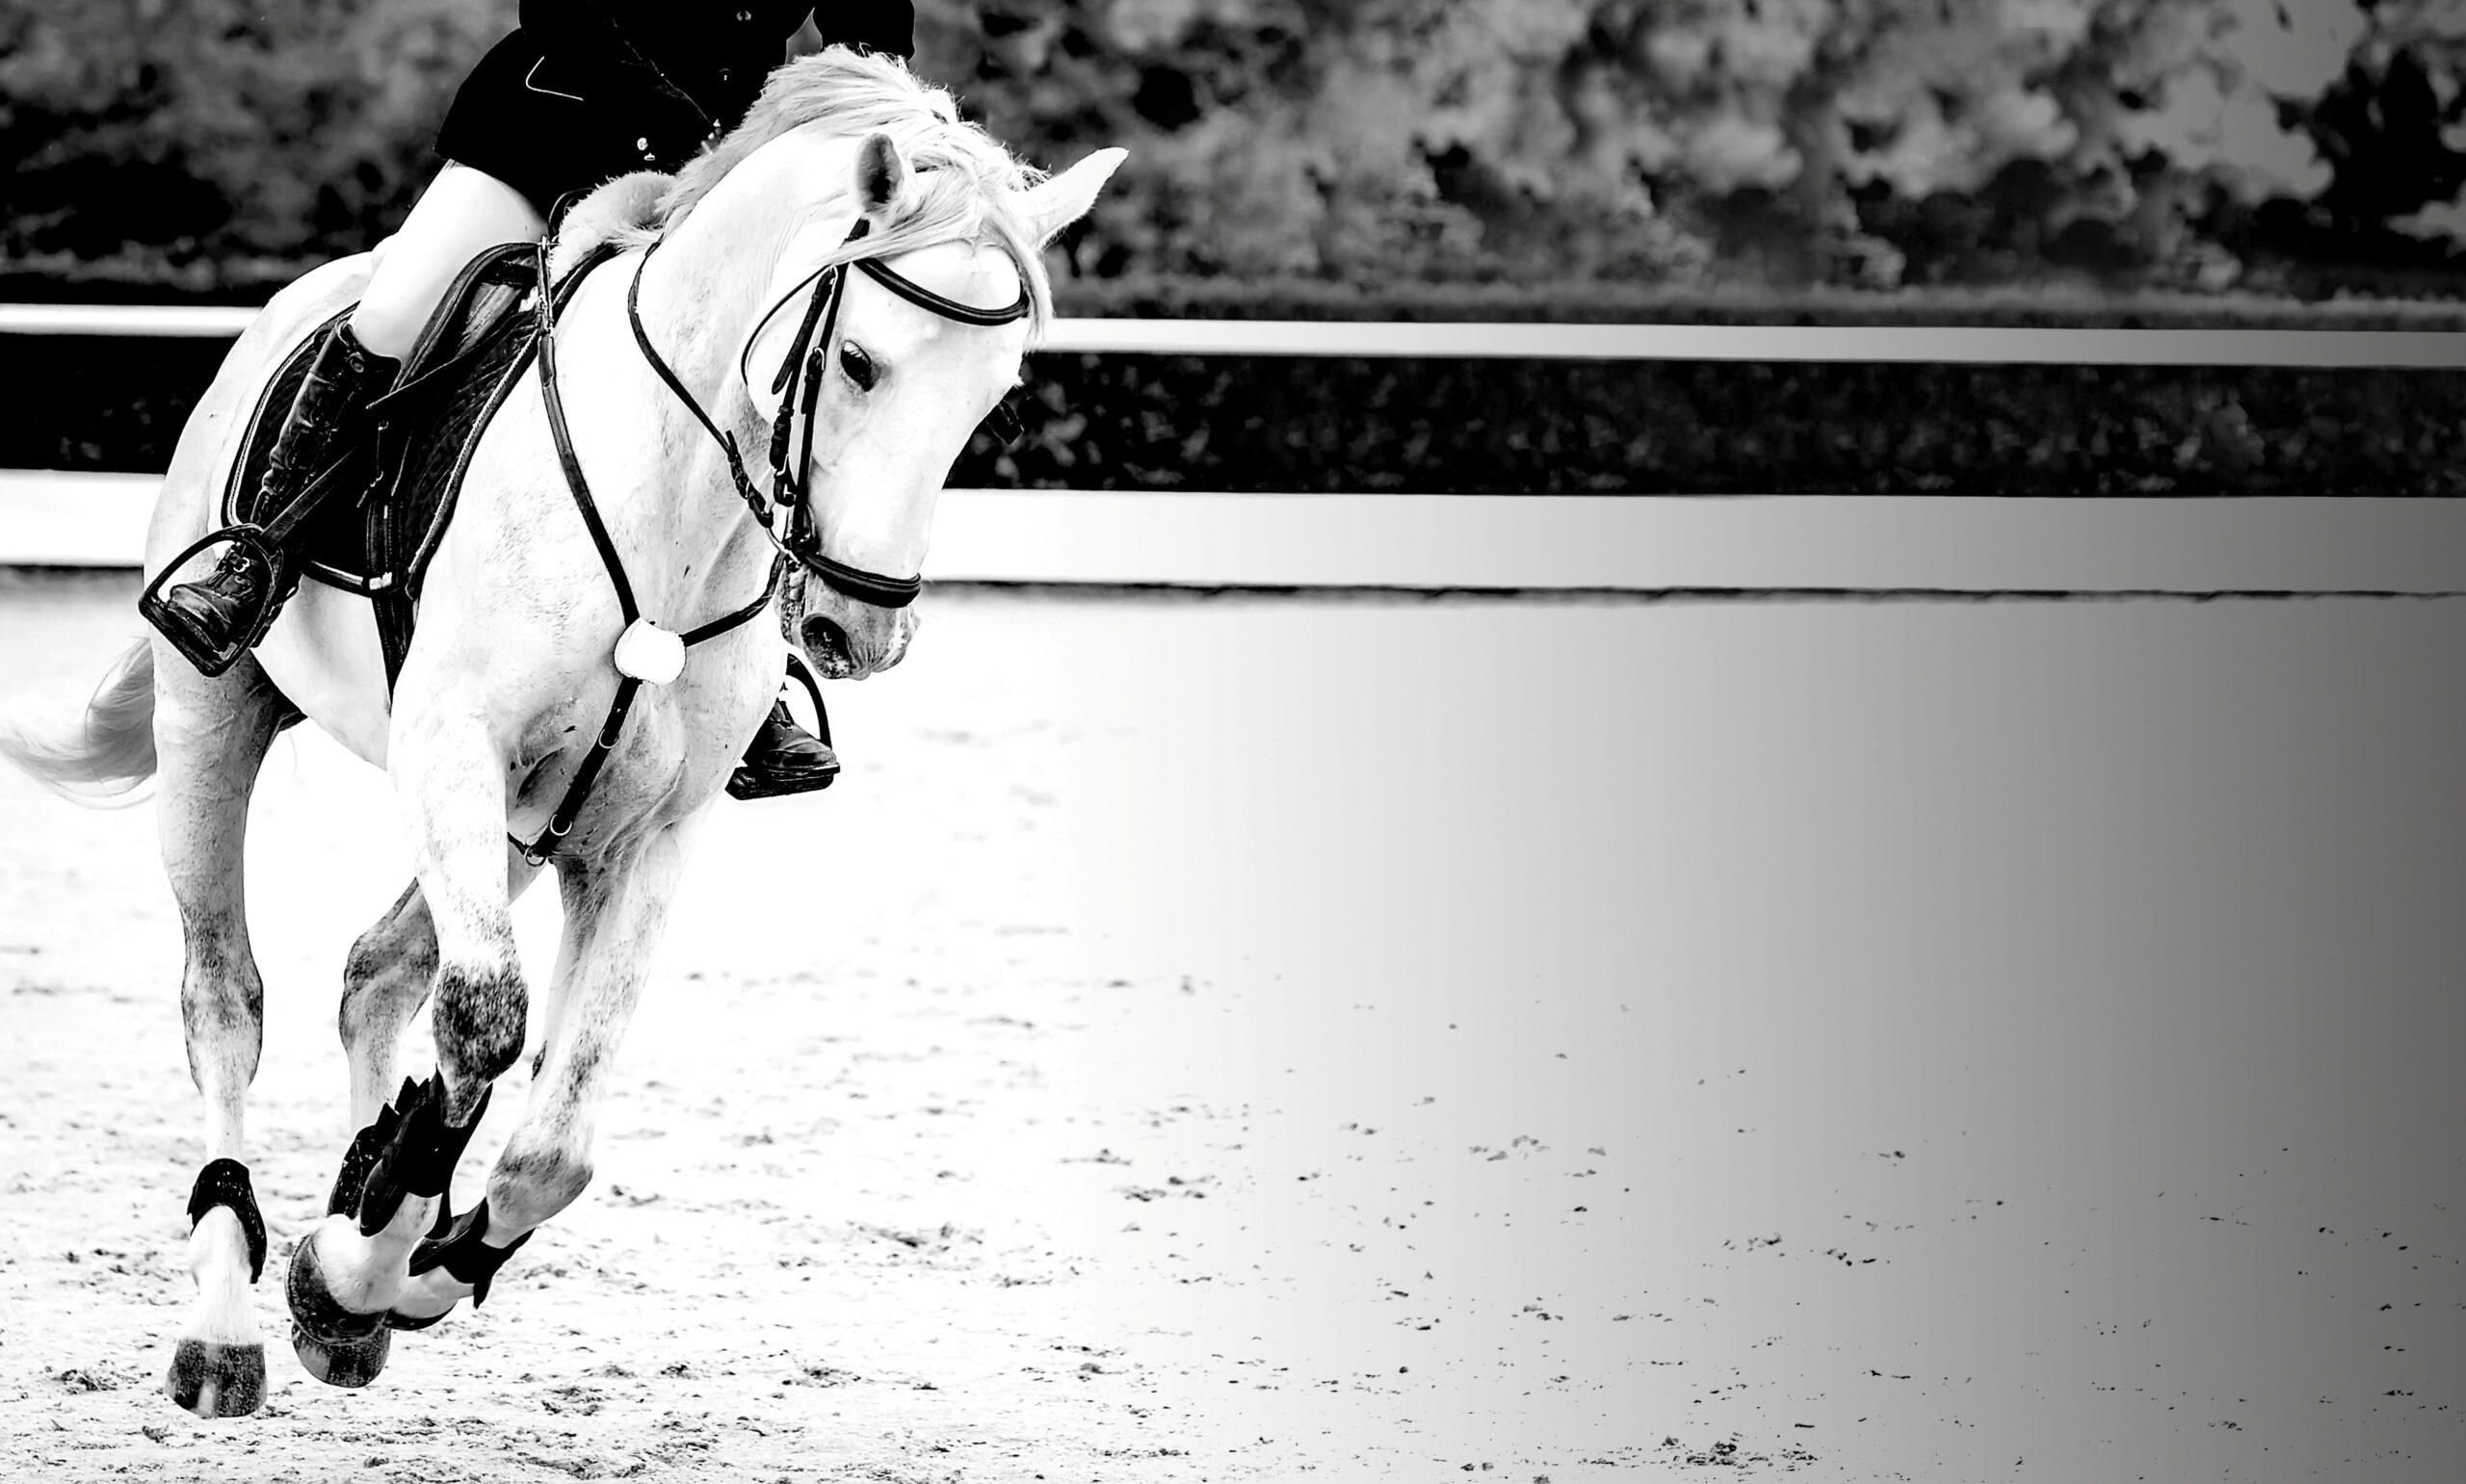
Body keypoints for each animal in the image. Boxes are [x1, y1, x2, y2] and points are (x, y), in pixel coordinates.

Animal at [0, 49, 1122, 1418]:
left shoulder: (641, 831)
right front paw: (360, 1257)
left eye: (996, 393)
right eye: (857, 361)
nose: (862, 627)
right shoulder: (453, 744)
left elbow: (555, 1137)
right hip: (214, 712)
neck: (673, 503)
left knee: (380, 973)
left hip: (529, 819)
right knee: (226, 999)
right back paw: (223, 1322)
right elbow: (486, 1019)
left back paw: (355, 1224)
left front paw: (383, 1269)